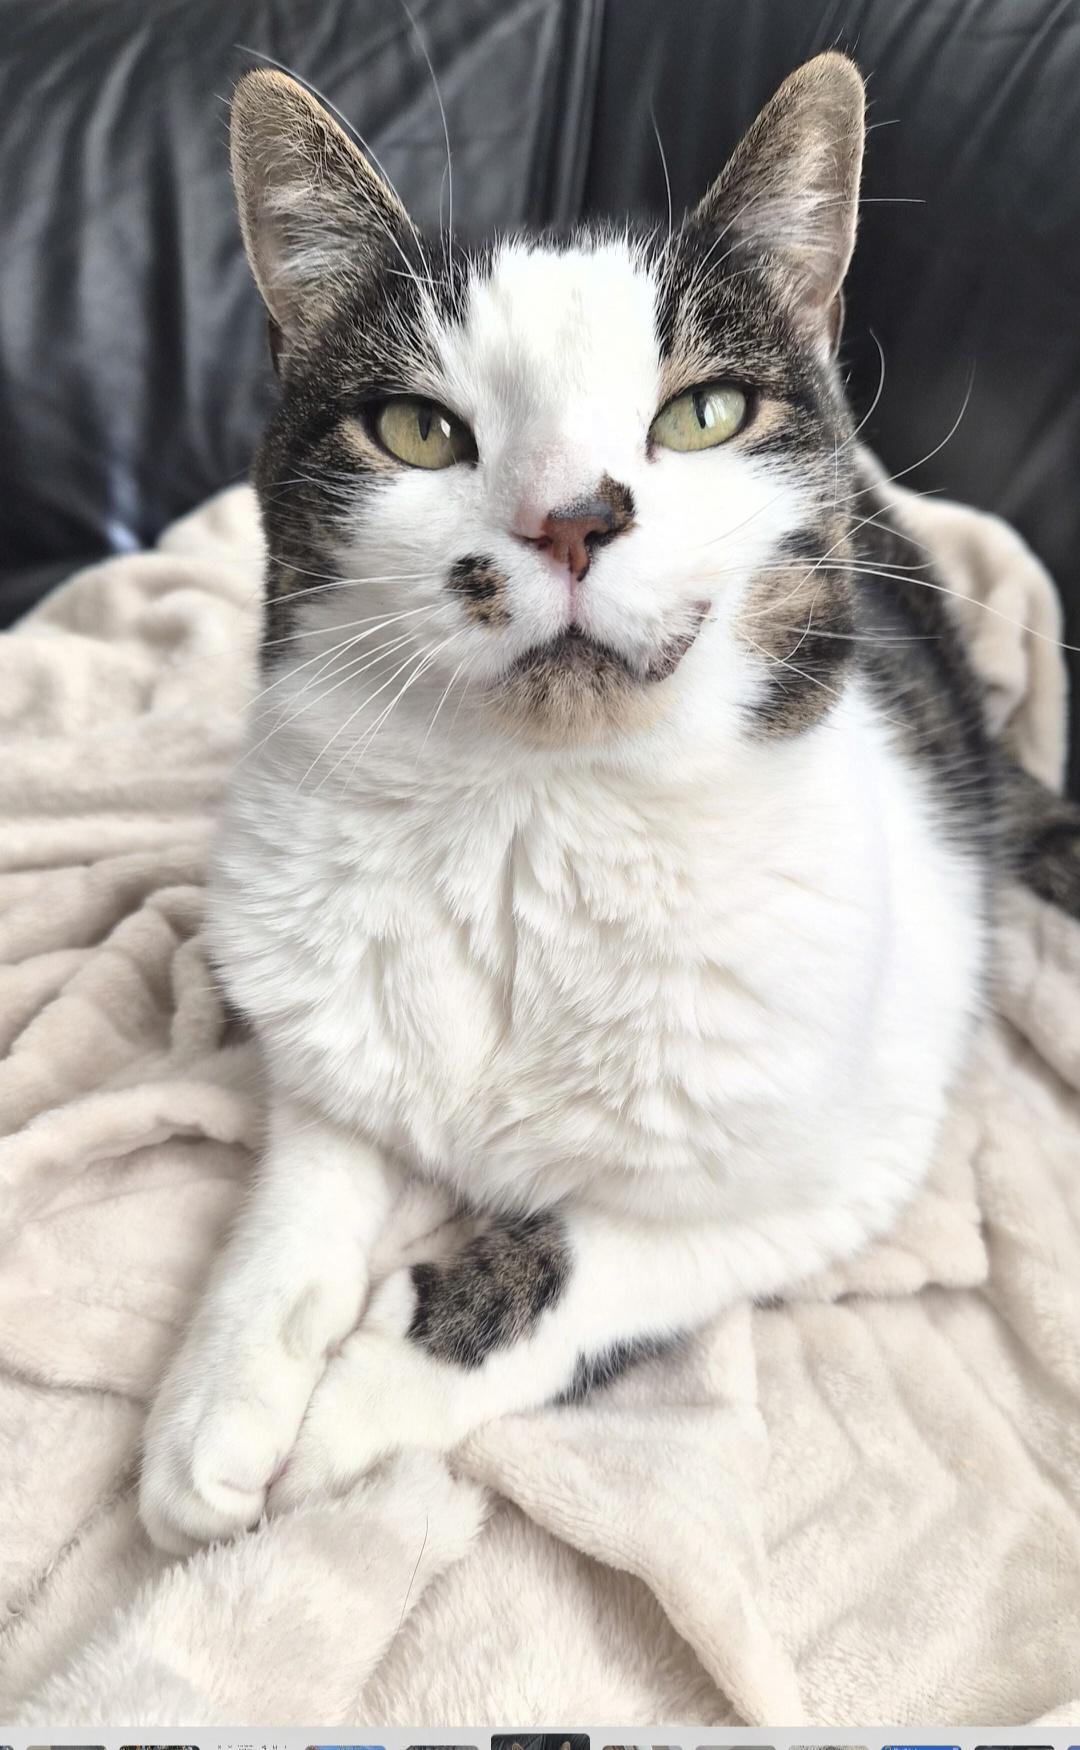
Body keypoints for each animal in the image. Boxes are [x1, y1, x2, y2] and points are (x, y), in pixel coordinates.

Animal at [138, 52, 1080, 1555]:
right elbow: (307, 1176)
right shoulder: (323, 1027)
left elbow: (577, 1262)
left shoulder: (839, 1165)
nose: (571, 517)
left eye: (703, 411)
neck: (531, 819)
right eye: (418, 428)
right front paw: (220, 1402)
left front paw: (352, 1409)